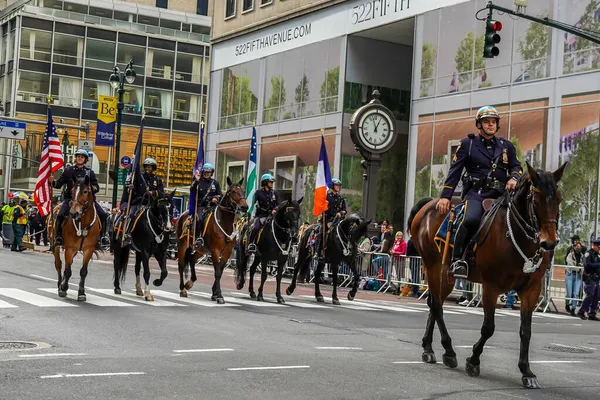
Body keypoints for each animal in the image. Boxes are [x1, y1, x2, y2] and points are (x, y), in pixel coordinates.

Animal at [410, 162, 564, 388]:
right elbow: (488, 328)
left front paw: (526, 371)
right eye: (536, 200)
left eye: (558, 199)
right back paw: (449, 351)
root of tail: (430, 204)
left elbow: (526, 331)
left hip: (445, 275)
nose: (549, 242)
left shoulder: (531, 289)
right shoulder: (491, 286)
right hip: (433, 268)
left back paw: (428, 348)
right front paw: (473, 360)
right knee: (437, 306)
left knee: (433, 304)